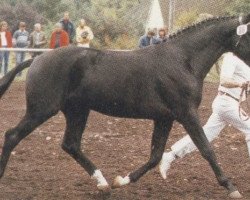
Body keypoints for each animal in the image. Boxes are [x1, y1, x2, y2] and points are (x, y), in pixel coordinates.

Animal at [0, 14, 250, 198]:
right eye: (249, 34)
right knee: (12, 135)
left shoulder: (165, 117)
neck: (182, 60)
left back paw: (103, 184)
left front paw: (122, 180)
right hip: (42, 109)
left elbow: (155, 155)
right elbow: (206, 148)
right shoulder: (186, 113)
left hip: (77, 111)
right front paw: (232, 188)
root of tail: (37, 59)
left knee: (70, 144)